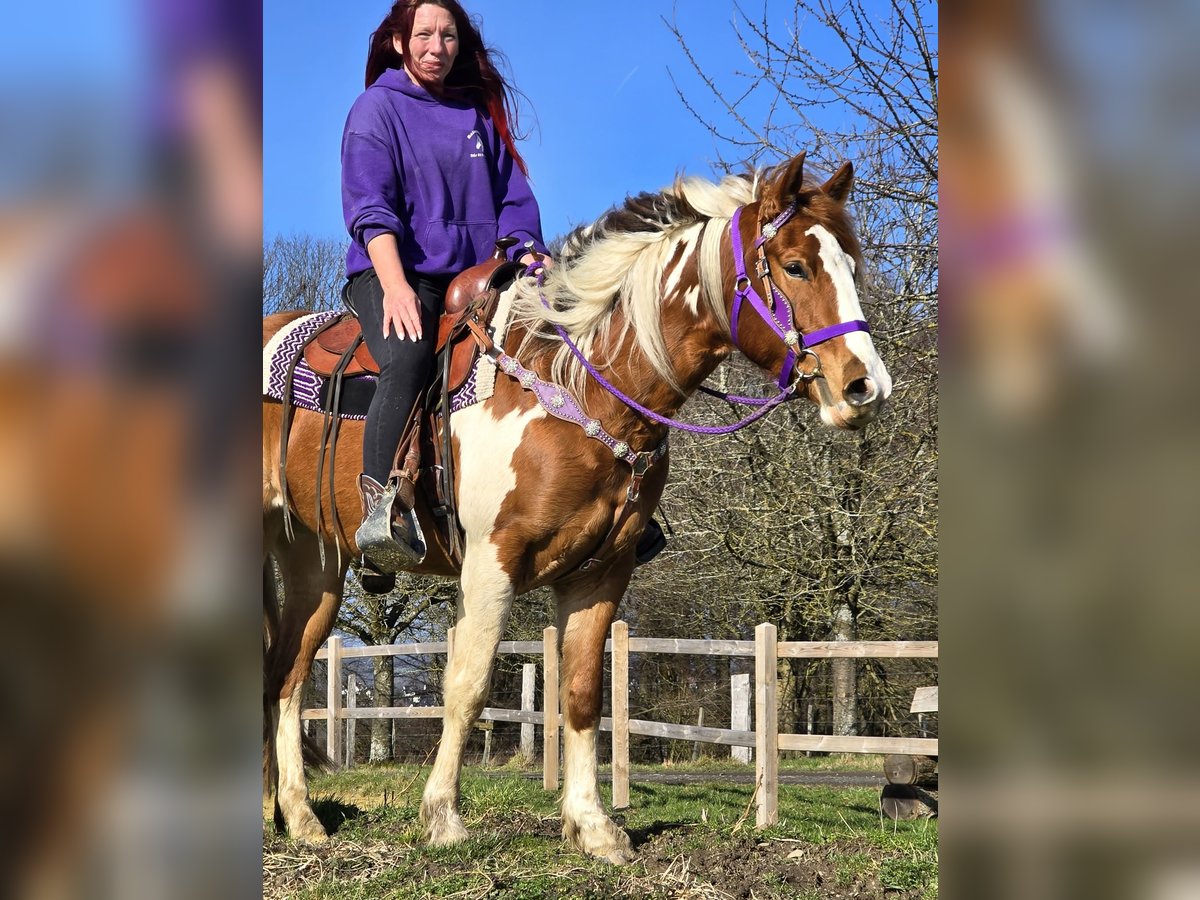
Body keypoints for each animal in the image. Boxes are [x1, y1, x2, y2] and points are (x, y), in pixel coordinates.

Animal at [262, 150, 891, 862]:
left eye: (851, 266)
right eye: (795, 266)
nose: (864, 387)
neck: (580, 382)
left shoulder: (601, 571)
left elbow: (584, 693)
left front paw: (592, 825)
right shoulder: (492, 562)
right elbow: (467, 685)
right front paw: (443, 817)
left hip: (316, 565)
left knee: (285, 676)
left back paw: (297, 818)